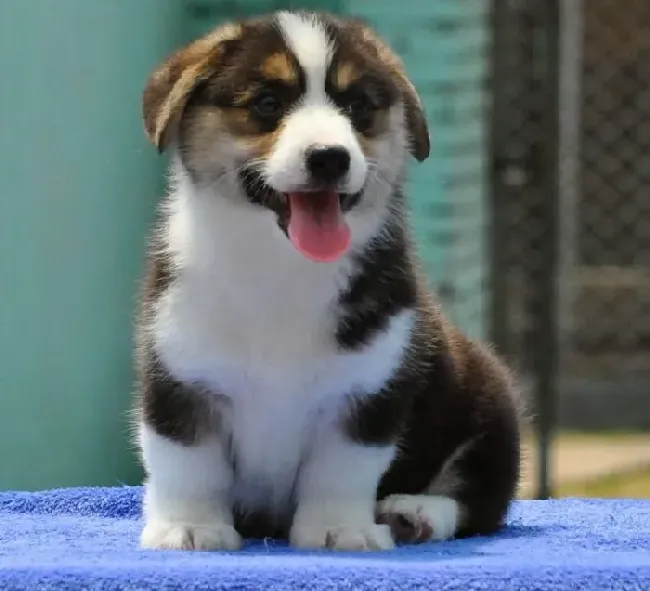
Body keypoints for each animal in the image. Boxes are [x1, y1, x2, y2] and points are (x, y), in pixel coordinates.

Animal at [134, 10, 520, 556]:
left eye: (358, 107)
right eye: (268, 104)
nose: (330, 158)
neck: (282, 266)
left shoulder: (365, 392)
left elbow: (342, 469)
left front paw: (340, 530)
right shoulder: (180, 379)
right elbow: (188, 463)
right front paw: (190, 528)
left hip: (493, 404)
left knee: (479, 497)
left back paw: (414, 512)